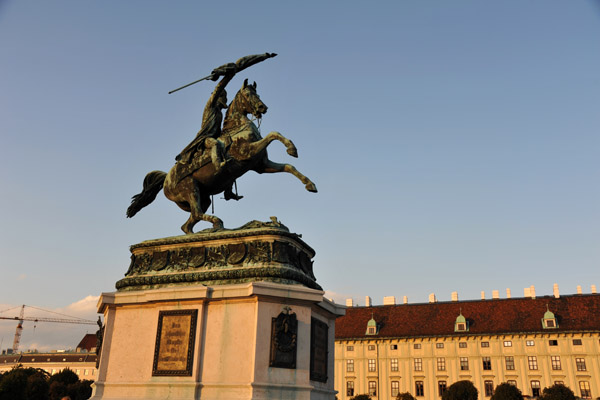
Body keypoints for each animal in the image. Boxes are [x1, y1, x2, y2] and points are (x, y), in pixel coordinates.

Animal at [127, 79, 318, 234]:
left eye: (258, 94)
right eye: (248, 94)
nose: (262, 108)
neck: (238, 128)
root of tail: (167, 179)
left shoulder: (261, 165)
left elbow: (288, 166)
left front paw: (310, 184)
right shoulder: (248, 152)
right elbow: (273, 134)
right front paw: (292, 148)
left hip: (202, 198)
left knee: (189, 223)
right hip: (191, 190)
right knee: (196, 214)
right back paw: (217, 223)